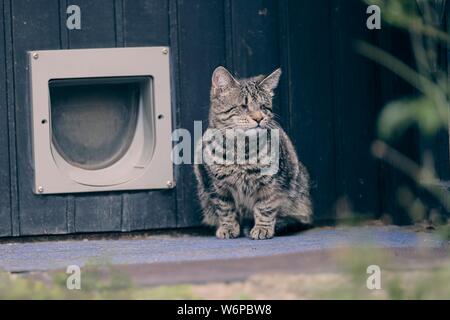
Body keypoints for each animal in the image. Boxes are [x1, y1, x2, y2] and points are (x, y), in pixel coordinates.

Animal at [193, 66, 312, 239]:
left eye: (263, 107)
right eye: (243, 106)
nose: (258, 118)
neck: (241, 149)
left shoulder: (271, 185)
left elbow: (265, 207)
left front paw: (262, 228)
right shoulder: (217, 187)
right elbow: (225, 209)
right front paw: (228, 227)